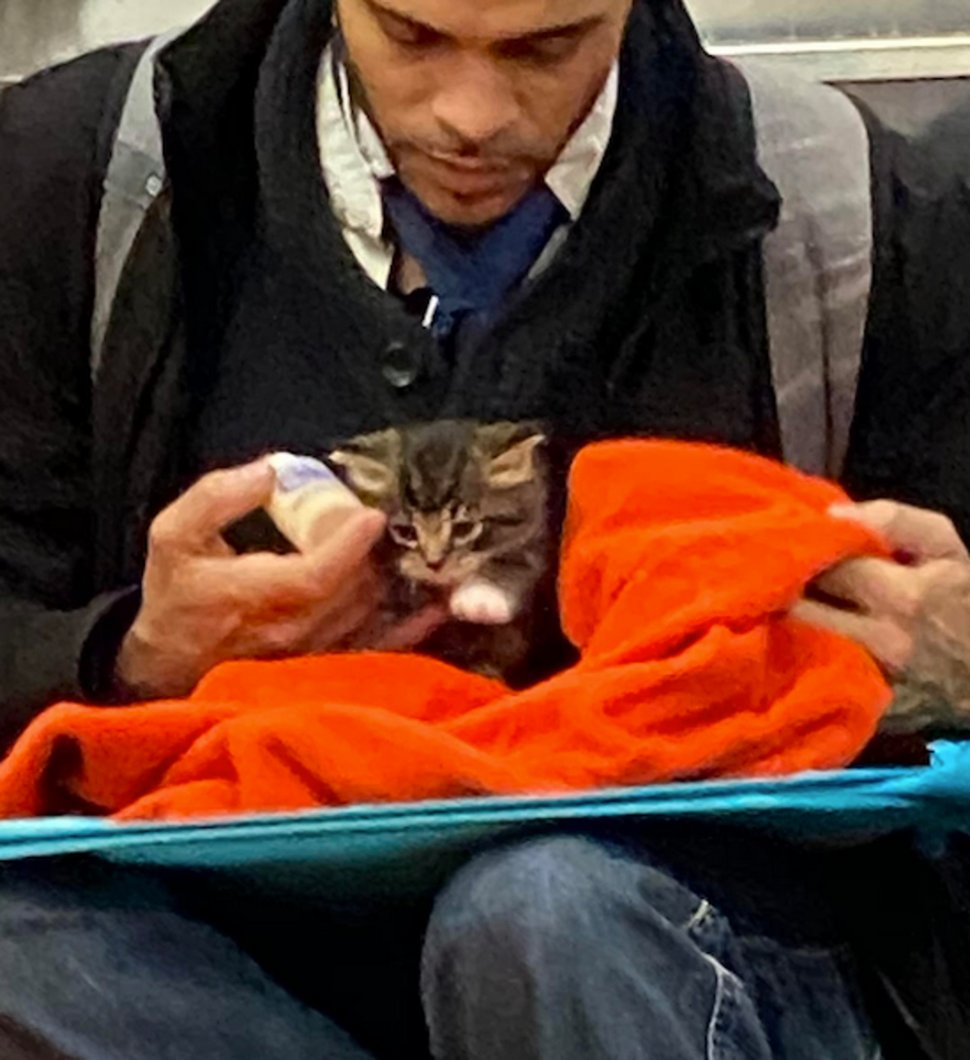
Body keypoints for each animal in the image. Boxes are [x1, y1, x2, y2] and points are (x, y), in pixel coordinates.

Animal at [332, 417, 555, 682]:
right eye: (406, 532)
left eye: (463, 528)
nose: (434, 563)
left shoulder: (535, 527)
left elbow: (519, 557)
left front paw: (482, 596)